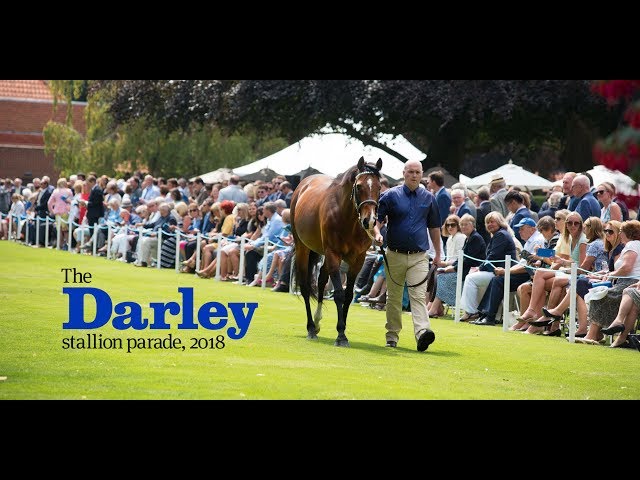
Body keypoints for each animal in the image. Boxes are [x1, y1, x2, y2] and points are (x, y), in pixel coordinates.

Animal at [292, 156, 382, 346]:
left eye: (379, 187)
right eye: (359, 186)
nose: (370, 221)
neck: (346, 217)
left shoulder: (358, 260)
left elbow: (348, 294)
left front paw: (343, 329)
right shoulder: (334, 254)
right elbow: (339, 294)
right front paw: (341, 335)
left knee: (320, 281)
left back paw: (317, 322)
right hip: (303, 248)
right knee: (305, 287)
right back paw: (311, 328)